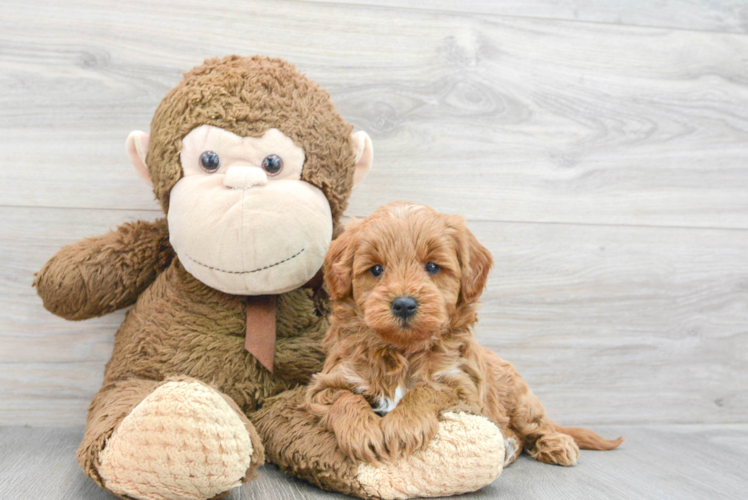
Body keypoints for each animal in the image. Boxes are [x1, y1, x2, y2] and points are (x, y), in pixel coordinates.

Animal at [306, 201, 624, 466]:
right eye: (375, 270)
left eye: (432, 266)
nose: (404, 304)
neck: (404, 351)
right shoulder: (327, 382)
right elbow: (345, 398)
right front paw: (362, 433)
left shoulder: (464, 389)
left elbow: (426, 389)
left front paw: (402, 426)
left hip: (520, 401)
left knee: (537, 426)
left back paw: (556, 444)